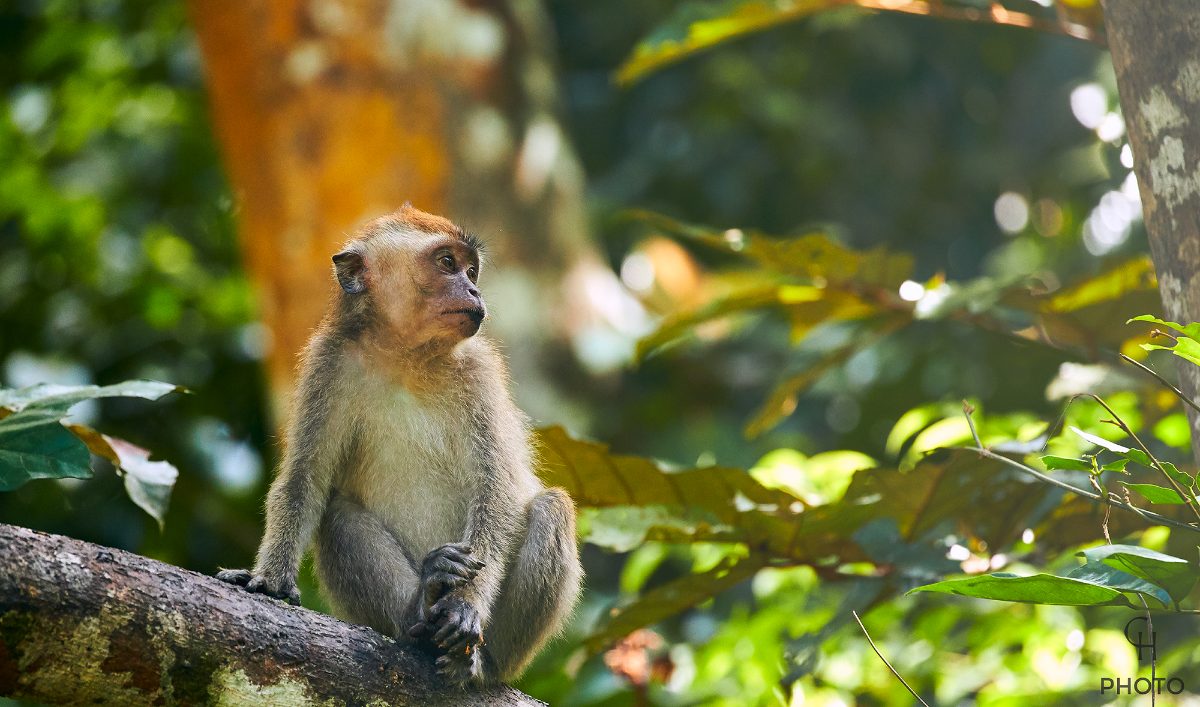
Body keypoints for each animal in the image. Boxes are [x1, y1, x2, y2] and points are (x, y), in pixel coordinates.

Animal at [217, 204, 582, 686]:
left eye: (471, 270)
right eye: (447, 263)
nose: (473, 289)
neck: (405, 357)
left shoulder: (479, 373)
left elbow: (497, 492)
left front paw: (465, 603)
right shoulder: (327, 364)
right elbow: (304, 479)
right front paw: (270, 581)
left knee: (552, 508)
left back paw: (476, 663)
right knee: (336, 513)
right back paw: (420, 611)